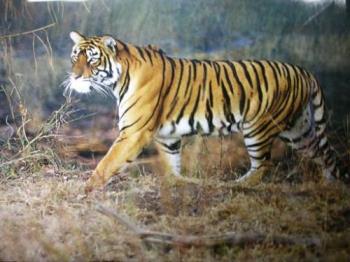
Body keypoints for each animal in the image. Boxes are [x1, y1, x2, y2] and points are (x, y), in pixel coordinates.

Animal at [63, 32, 348, 192]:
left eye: (92, 59)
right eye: (75, 56)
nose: (74, 76)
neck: (118, 80)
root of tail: (305, 71)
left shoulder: (133, 132)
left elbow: (108, 161)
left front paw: (87, 188)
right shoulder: (167, 136)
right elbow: (171, 163)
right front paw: (177, 183)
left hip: (258, 127)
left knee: (263, 165)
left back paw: (237, 186)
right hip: (298, 130)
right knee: (325, 153)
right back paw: (331, 185)